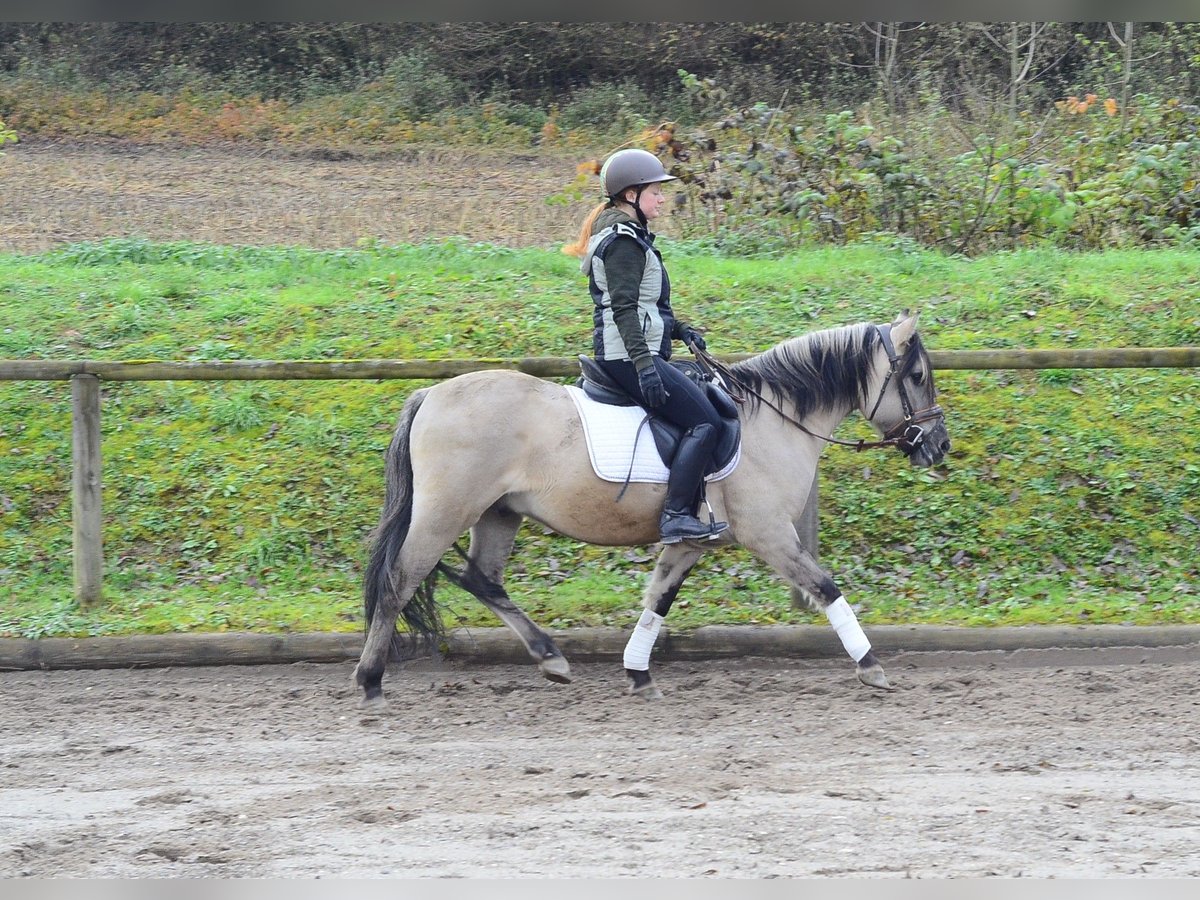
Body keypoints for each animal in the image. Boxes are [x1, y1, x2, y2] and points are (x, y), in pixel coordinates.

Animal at [354, 312, 950, 708]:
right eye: (917, 376)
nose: (939, 446)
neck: (772, 421)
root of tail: (430, 395)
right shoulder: (769, 535)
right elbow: (826, 588)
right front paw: (872, 667)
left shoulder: (688, 541)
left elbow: (657, 600)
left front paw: (638, 673)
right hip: (447, 511)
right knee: (400, 579)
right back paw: (371, 682)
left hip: (499, 512)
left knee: (482, 579)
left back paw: (551, 658)